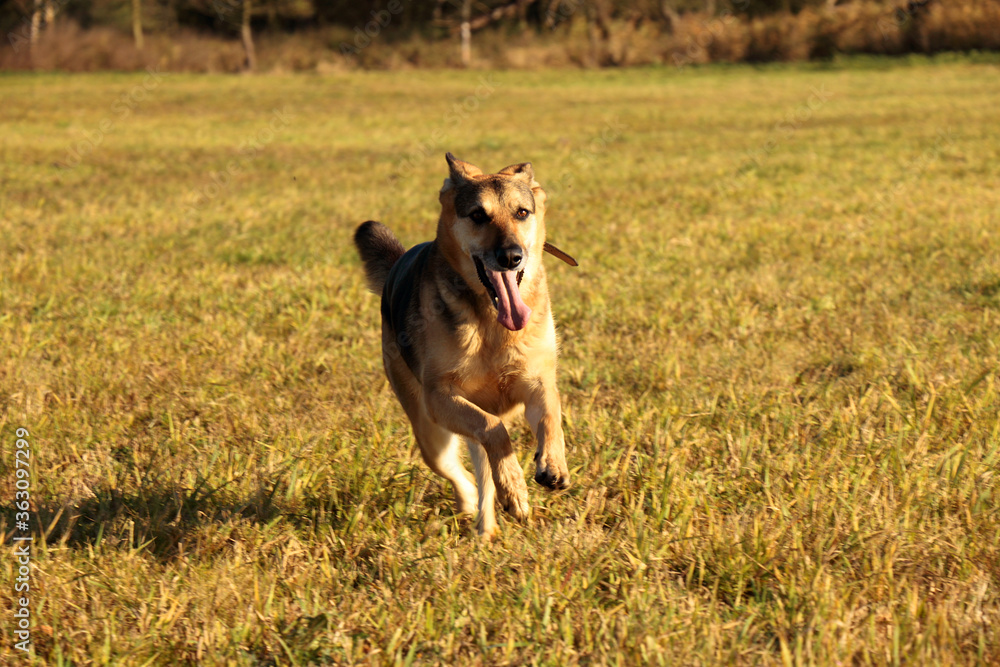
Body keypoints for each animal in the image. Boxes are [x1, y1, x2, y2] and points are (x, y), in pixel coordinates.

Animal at [354, 153, 576, 539]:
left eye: (522, 213)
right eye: (478, 215)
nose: (511, 257)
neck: (491, 323)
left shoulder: (537, 382)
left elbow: (550, 416)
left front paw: (552, 465)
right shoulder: (441, 398)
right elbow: (494, 429)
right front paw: (515, 488)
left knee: (483, 466)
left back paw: (488, 524)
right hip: (432, 434)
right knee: (468, 475)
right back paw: (481, 512)